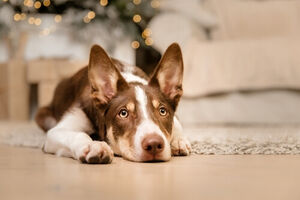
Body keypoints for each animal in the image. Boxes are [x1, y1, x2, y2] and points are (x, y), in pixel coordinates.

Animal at [34, 43, 190, 163]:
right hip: (43, 115)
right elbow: (77, 134)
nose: (154, 144)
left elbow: (177, 125)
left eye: (162, 111)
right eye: (123, 113)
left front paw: (178, 141)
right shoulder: (56, 132)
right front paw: (92, 145)